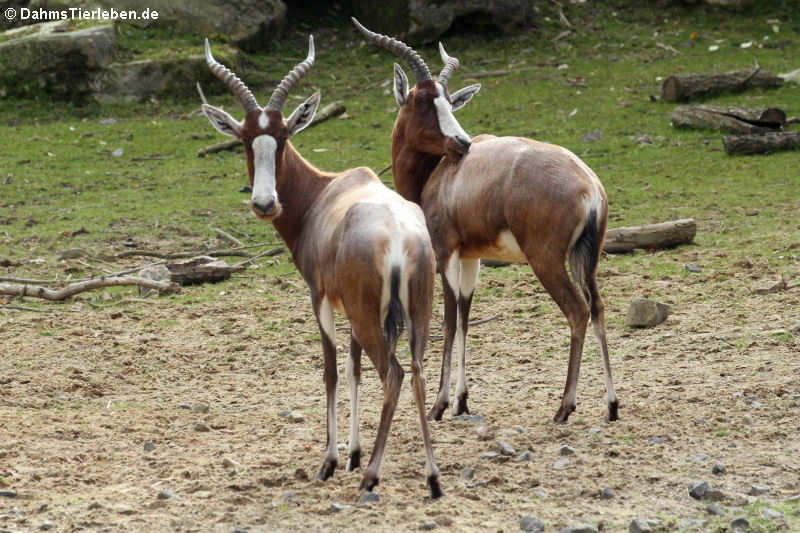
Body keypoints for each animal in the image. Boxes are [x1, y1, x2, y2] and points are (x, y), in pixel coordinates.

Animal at [197, 35, 440, 496]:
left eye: (283, 136)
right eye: (246, 139)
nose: (265, 203)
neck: (327, 192)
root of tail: (399, 236)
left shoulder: (321, 299)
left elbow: (330, 369)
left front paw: (331, 461)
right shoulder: (350, 310)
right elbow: (353, 368)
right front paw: (352, 453)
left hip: (369, 315)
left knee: (394, 374)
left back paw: (372, 476)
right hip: (417, 310)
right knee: (416, 370)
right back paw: (433, 478)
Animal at [354, 17, 620, 424]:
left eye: (449, 101)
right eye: (423, 101)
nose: (462, 143)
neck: (438, 174)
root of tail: (589, 184)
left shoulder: (444, 252)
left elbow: (448, 321)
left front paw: (439, 405)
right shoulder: (471, 257)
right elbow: (465, 315)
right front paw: (461, 401)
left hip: (546, 260)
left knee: (578, 310)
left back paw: (564, 407)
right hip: (586, 258)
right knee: (598, 307)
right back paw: (611, 405)